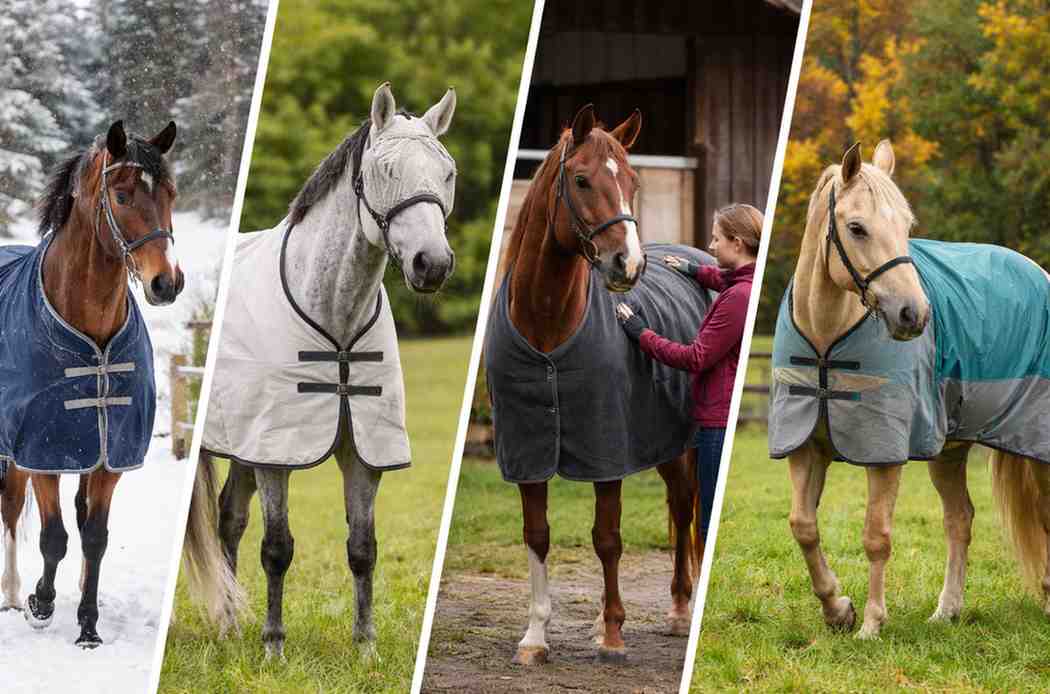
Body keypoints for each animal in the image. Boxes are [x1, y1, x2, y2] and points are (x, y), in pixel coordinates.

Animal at [0, 120, 183, 648]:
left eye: (170, 194)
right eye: (121, 196)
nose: (167, 283)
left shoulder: (107, 454)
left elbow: (94, 536)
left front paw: (87, 625)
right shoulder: (41, 450)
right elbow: (53, 537)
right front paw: (40, 604)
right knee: (10, 508)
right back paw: (13, 593)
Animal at [182, 82, 457, 659]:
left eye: (447, 173)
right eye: (386, 170)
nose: (433, 264)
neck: (334, 311)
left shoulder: (364, 454)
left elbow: (362, 547)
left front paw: (366, 647)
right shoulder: (276, 453)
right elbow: (277, 548)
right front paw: (273, 647)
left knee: (229, 519)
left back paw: (229, 622)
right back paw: (231, 625)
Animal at [484, 104, 704, 665]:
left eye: (631, 181)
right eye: (581, 180)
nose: (629, 263)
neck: (547, 325)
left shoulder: (609, 450)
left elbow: (607, 538)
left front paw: (612, 635)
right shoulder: (527, 451)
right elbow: (537, 535)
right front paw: (536, 638)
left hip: (678, 446)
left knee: (683, 506)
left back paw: (678, 610)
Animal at [770, 140, 1050, 639]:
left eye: (906, 226)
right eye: (857, 228)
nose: (913, 315)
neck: (826, 340)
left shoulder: (884, 453)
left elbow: (876, 536)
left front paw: (871, 623)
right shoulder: (804, 446)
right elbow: (803, 526)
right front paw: (838, 608)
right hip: (949, 450)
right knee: (960, 520)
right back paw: (947, 611)